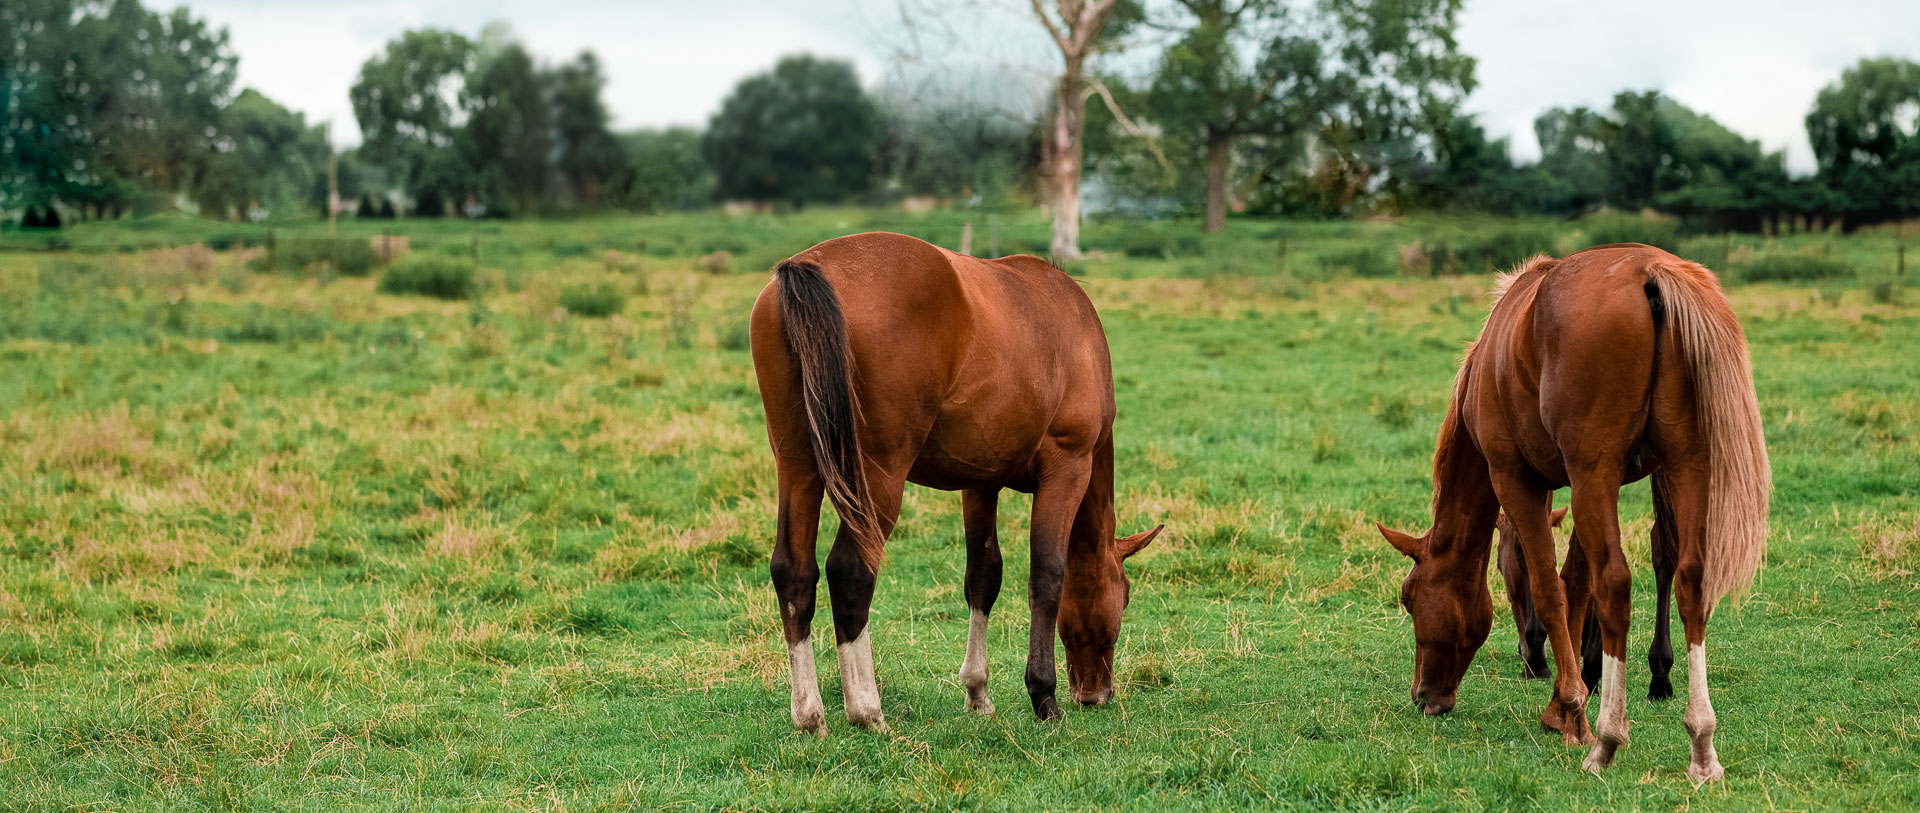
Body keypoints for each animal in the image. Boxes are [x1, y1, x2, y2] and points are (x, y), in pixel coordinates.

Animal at [748, 230, 1167, 738]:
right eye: (1124, 597)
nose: (1095, 694)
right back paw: (867, 711)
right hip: (879, 476)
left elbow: (983, 577)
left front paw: (977, 693)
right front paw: (1043, 695)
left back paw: (810, 716)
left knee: (794, 572)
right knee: (850, 571)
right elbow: (1047, 577)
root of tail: (809, 266)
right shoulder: (1067, 470)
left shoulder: (980, 484)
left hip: (798, 467)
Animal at [1382, 243, 1766, 784]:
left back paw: (1606, 740)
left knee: (1617, 584)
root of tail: (1651, 272)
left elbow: (1552, 589)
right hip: (1685, 466)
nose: (1423, 696)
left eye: (1409, 598)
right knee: (1689, 580)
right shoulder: (1594, 484)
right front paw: (1567, 697)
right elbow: (1577, 585)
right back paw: (1701, 743)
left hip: (1596, 474)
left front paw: (1570, 712)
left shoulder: (1517, 480)